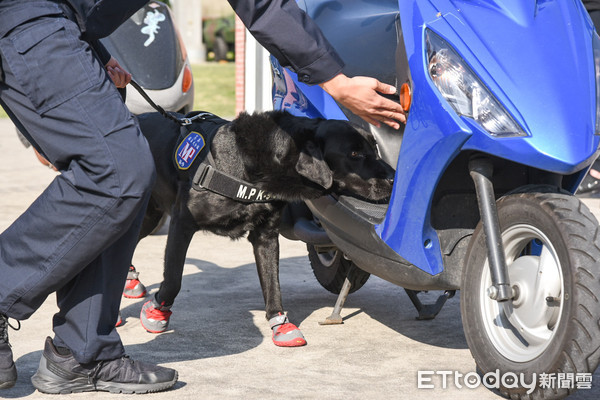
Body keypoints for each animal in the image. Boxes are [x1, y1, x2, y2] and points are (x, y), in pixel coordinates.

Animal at [135, 110, 394, 346]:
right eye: (354, 153)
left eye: (375, 149)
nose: (394, 177)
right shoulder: (182, 223)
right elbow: (173, 279)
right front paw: (157, 312)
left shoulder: (266, 235)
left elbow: (272, 284)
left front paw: (280, 324)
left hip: (148, 215)